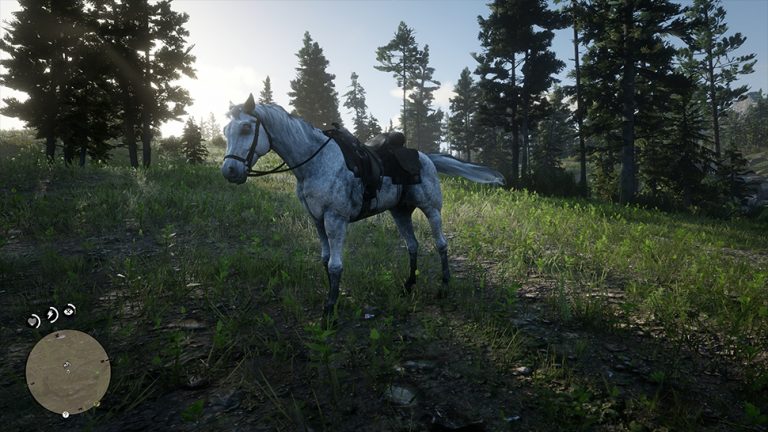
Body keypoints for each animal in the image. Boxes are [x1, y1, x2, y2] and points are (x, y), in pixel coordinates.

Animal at [221, 94, 504, 317]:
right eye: (225, 131)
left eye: (246, 128)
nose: (229, 171)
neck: (316, 163)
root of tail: (426, 157)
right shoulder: (317, 220)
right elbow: (325, 260)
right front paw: (333, 299)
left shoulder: (335, 219)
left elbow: (335, 265)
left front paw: (329, 311)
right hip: (400, 212)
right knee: (412, 246)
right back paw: (408, 284)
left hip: (432, 209)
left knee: (441, 245)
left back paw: (444, 287)